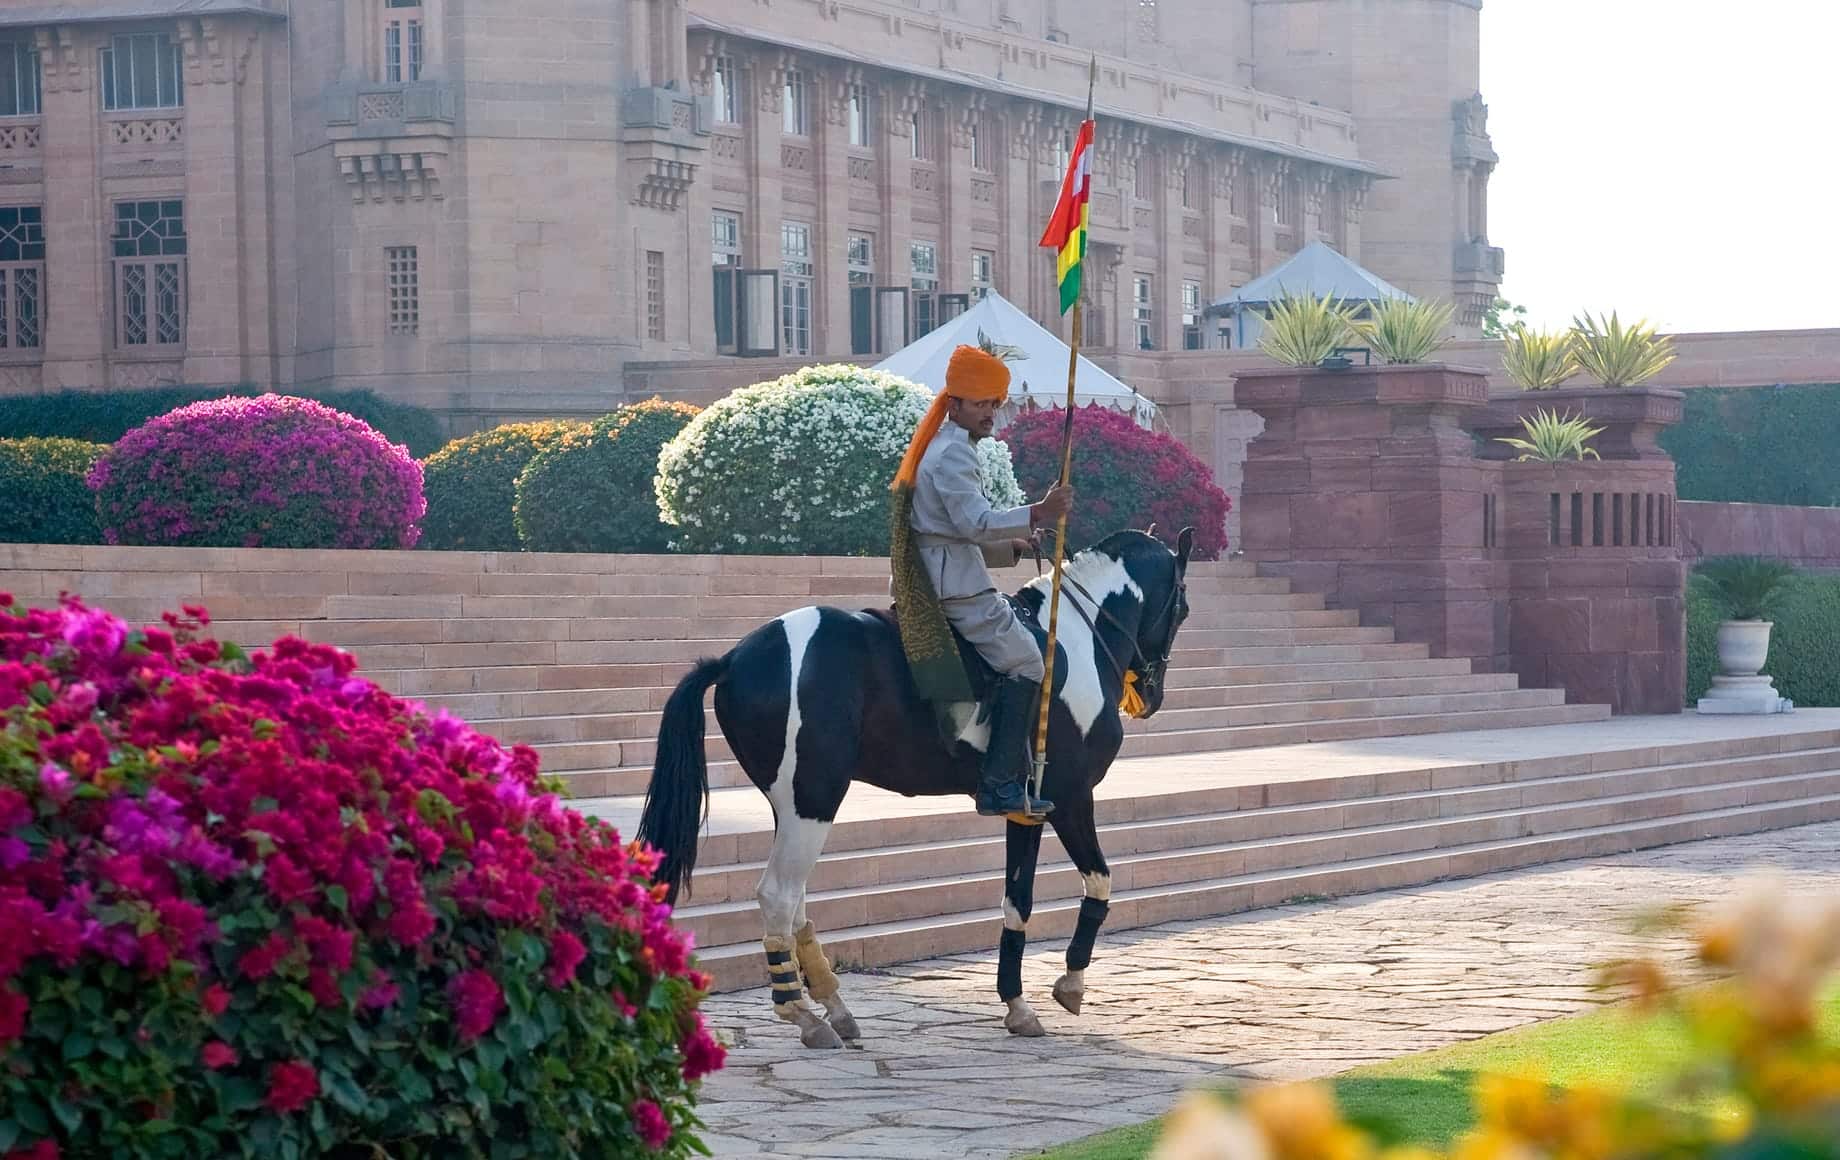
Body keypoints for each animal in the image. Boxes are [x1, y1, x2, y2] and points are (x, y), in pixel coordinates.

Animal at [640, 530, 1199, 1053]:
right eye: (1183, 607)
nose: (1151, 696)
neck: (1078, 637)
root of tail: (735, 657)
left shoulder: (1025, 809)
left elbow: (1017, 902)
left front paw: (1017, 1005)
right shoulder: (1072, 797)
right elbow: (1099, 882)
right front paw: (1071, 984)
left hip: (794, 805)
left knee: (793, 898)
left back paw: (834, 1007)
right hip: (813, 799)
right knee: (778, 894)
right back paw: (804, 1015)